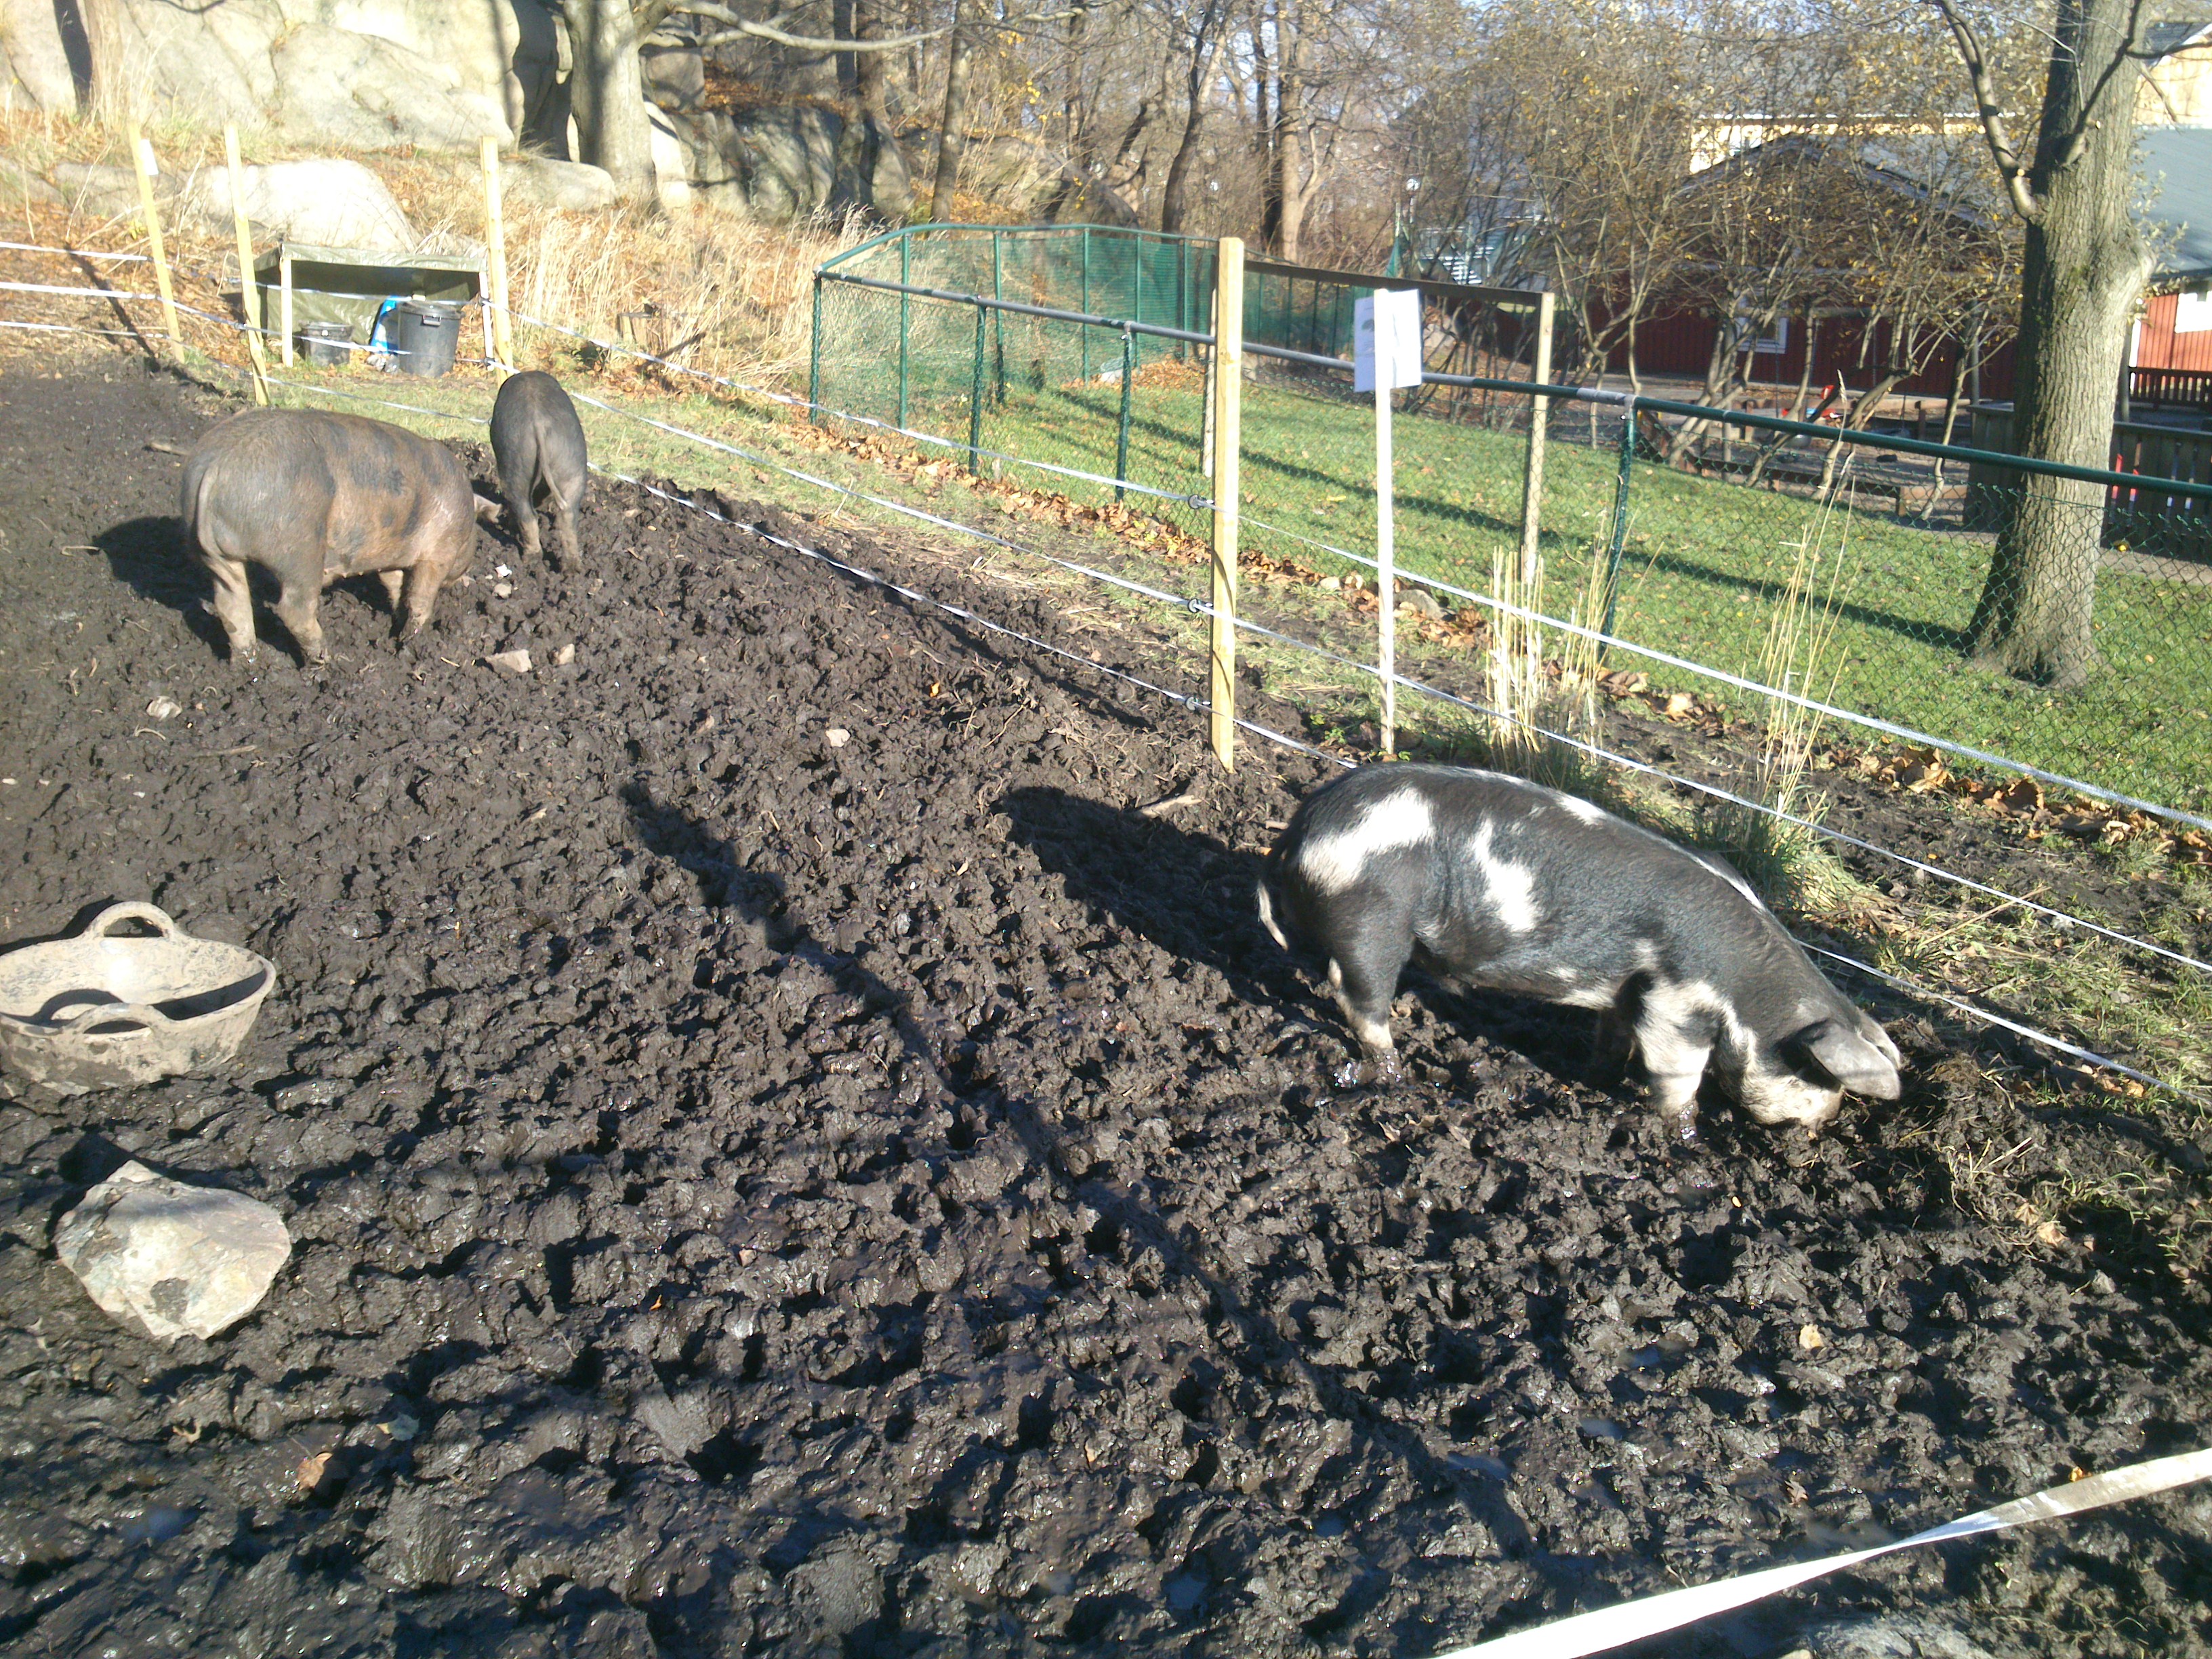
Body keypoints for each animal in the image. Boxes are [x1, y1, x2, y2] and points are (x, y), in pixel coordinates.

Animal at [180, 409, 477, 668]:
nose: (466, 581)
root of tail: (219, 465)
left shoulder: (390, 557)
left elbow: (396, 587)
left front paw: (396, 621)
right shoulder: (439, 551)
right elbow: (419, 596)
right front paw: (409, 638)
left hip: (215, 556)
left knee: (230, 605)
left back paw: (246, 666)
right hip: (300, 549)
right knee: (294, 608)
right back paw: (329, 662)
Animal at [489, 370, 588, 569]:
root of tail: (539, 424)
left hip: (516, 464)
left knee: (526, 514)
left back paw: (530, 559)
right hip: (573, 465)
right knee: (568, 517)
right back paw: (572, 568)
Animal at [1257, 763, 1902, 1138]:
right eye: (1816, 1072)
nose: (1826, 1123)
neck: (1750, 993)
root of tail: (1302, 828)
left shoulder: (1627, 993)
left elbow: (1612, 1038)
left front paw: (1594, 1078)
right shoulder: (1678, 1004)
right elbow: (1677, 1078)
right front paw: (1685, 1137)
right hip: (1373, 916)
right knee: (1358, 996)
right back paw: (1397, 1075)